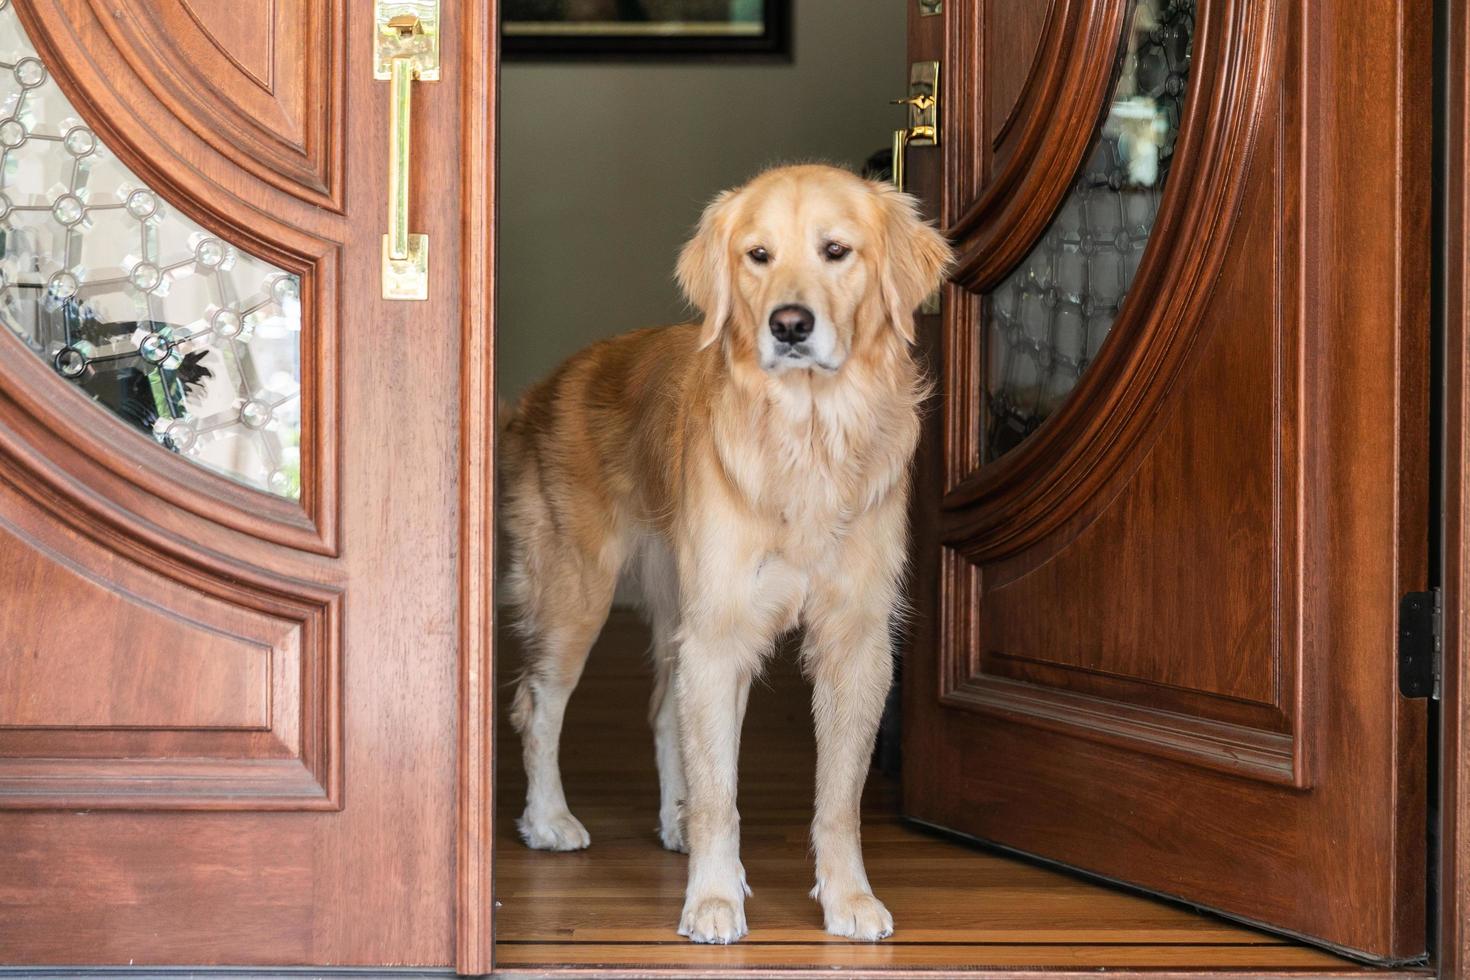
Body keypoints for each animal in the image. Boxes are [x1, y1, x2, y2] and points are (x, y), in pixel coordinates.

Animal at [499, 164, 946, 946]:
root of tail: (549, 382)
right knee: (538, 703)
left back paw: (671, 819)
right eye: (757, 256)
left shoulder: (854, 642)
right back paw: (549, 819)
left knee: (662, 710)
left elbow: (840, 797)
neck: (807, 435)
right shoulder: (721, 633)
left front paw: (848, 898)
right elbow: (721, 793)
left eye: (836, 251)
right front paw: (712, 898)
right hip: (575, 594)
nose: (790, 324)